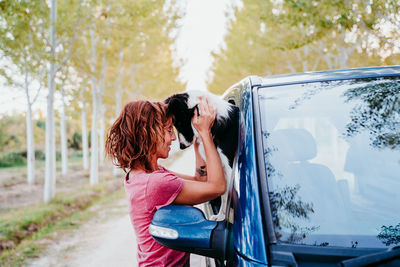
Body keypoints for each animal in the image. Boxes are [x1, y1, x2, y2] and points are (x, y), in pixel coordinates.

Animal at [165, 91, 239, 221]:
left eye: (179, 123)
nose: (181, 147)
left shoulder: (229, 167)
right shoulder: (221, 168)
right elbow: (224, 195)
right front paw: (221, 216)